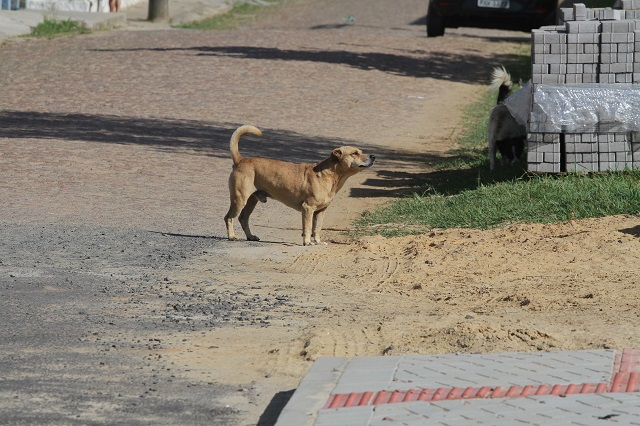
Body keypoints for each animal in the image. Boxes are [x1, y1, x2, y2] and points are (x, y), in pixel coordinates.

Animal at [225, 125, 376, 246]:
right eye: (355, 153)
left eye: (361, 151)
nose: (373, 156)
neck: (328, 175)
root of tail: (240, 160)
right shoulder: (308, 208)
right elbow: (308, 227)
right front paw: (307, 242)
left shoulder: (320, 211)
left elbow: (317, 228)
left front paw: (318, 242)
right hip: (240, 199)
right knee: (229, 217)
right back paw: (232, 236)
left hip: (252, 200)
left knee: (243, 218)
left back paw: (250, 236)